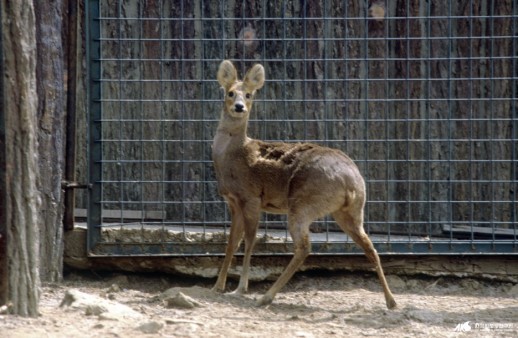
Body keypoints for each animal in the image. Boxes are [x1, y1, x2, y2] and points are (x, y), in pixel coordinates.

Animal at [211, 58, 398, 308]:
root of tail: (351, 181)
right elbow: (232, 242)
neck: (233, 155)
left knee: (304, 247)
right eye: (230, 92)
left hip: (303, 202)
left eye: (249, 95)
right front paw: (217, 287)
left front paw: (240, 289)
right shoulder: (232, 201)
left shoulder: (251, 196)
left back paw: (266, 296)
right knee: (370, 247)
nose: (239, 106)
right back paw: (391, 301)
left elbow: (249, 241)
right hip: (349, 210)